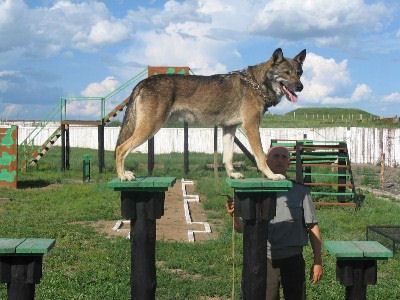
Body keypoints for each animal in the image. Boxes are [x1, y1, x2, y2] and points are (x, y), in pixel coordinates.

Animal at [115, 48, 306, 182]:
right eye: (286, 73)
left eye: (299, 73)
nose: (300, 87)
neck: (257, 84)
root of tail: (144, 81)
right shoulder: (251, 126)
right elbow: (260, 156)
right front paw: (271, 175)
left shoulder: (229, 128)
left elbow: (228, 157)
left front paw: (232, 174)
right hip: (150, 128)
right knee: (120, 149)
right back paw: (123, 176)